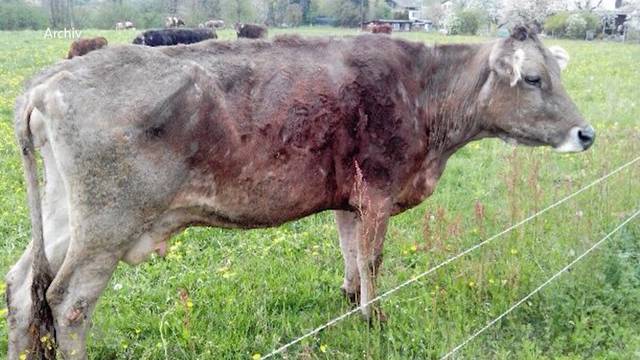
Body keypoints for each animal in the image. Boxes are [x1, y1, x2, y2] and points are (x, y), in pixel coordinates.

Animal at [8, 26, 596, 358]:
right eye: (535, 79)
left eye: (554, 74)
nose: (586, 133)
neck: (423, 93)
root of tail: (49, 79)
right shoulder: (378, 192)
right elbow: (374, 261)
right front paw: (375, 322)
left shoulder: (349, 200)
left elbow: (351, 260)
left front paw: (353, 307)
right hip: (106, 226)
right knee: (68, 303)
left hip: (64, 217)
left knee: (20, 286)